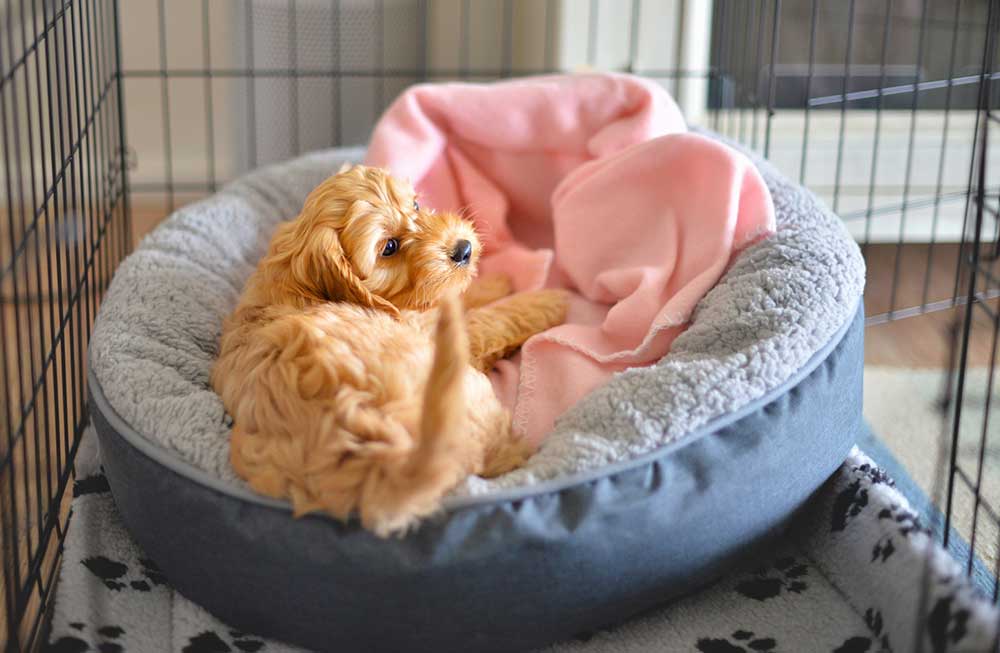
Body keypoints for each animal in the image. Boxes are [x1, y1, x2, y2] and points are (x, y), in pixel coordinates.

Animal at [209, 163, 572, 536]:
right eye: (390, 247)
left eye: (415, 205)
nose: (464, 250)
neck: (301, 282)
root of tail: (386, 458)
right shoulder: (431, 330)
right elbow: (489, 319)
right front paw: (545, 300)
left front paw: (494, 282)